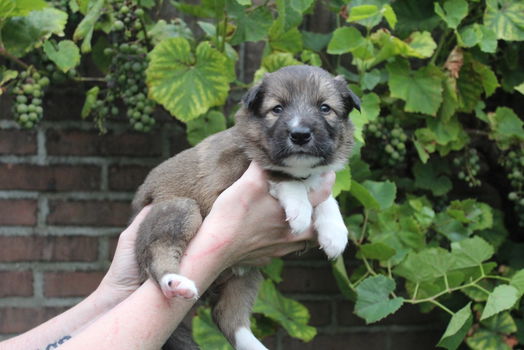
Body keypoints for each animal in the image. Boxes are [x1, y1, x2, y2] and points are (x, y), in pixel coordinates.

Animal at [132, 64, 360, 348]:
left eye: (325, 108)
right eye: (277, 109)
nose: (300, 135)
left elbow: (327, 198)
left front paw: (334, 232)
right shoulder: (234, 172)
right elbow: (279, 174)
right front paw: (300, 210)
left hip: (246, 274)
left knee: (228, 318)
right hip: (179, 209)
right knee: (156, 253)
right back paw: (174, 282)